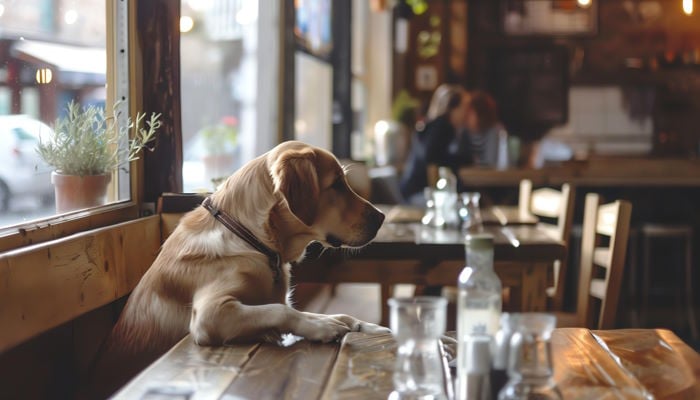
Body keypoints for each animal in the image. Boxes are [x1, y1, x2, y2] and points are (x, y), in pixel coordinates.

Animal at [87, 141, 388, 396]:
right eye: (336, 184)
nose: (382, 217)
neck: (249, 236)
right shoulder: (210, 314)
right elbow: (280, 311)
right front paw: (321, 326)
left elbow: (317, 312)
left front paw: (364, 325)